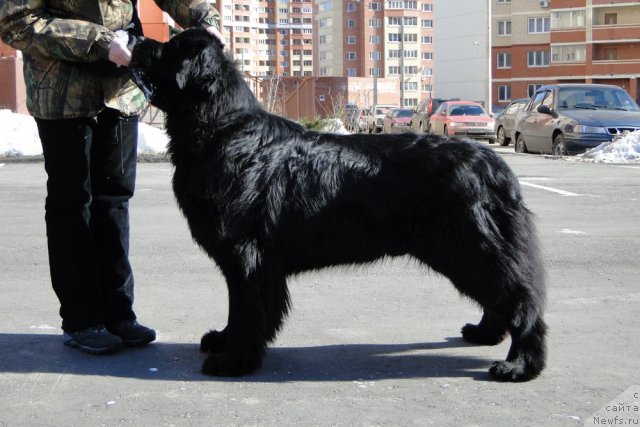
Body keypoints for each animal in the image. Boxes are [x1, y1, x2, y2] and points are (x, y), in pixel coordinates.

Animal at [129, 30, 544, 384]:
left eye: (168, 48)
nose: (134, 37)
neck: (222, 129)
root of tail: (494, 163)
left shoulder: (247, 255)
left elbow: (247, 309)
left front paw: (233, 361)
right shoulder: (244, 260)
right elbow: (239, 308)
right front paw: (223, 338)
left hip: (469, 247)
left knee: (521, 299)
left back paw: (520, 364)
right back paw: (484, 333)